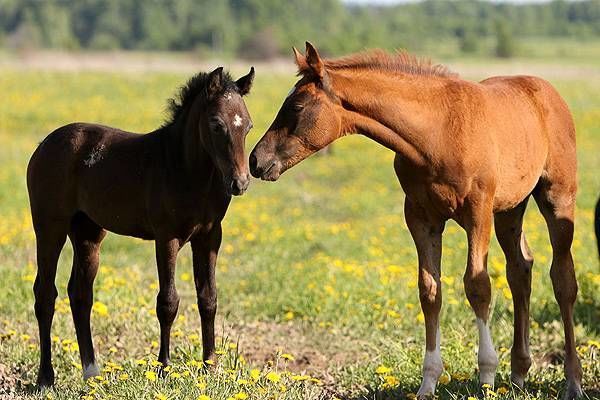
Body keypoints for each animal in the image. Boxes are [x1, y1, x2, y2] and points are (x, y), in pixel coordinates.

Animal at [28, 66, 253, 388]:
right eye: (216, 124)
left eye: (247, 126)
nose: (240, 183)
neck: (184, 168)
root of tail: (43, 145)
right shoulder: (167, 237)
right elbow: (168, 302)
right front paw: (164, 369)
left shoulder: (210, 236)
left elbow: (208, 298)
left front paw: (210, 367)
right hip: (50, 226)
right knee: (45, 294)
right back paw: (46, 377)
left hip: (87, 233)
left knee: (80, 293)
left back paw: (92, 372)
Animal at [251, 42, 584, 398]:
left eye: (297, 106)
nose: (256, 160)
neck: (437, 134)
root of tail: (548, 92)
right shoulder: (421, 218)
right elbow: (429, 290)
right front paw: (428, 382)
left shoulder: (477, 213)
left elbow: (477, 284)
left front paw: (486, 377)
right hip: (510, 209)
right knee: (520, 269)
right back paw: (519, 373)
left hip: (557, 198)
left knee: (562, 278)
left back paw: (573, 380)